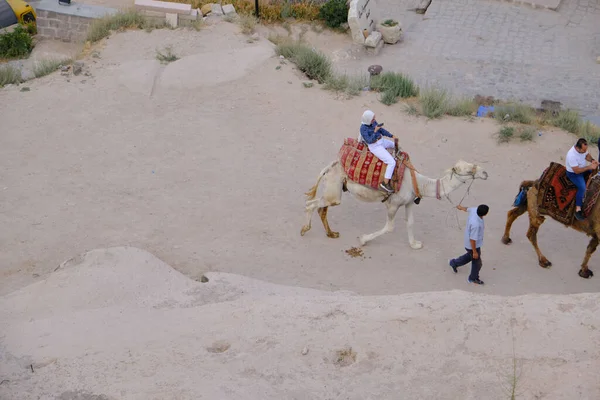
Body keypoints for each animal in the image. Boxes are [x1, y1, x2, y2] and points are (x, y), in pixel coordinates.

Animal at [298, 159, 488, 247]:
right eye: (469, 169)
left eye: (473, 164)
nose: (485, 173)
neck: (419, 183)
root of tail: (329, 166)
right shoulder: (393, 204)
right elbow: (390, 227)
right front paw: (363, 240)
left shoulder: (409, 202)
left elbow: (410, 222)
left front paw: (415, 244)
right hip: (334, 189)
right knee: (311, 204)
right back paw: (304, 229)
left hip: (334, 188)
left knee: (322, 208)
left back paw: (331, 234)